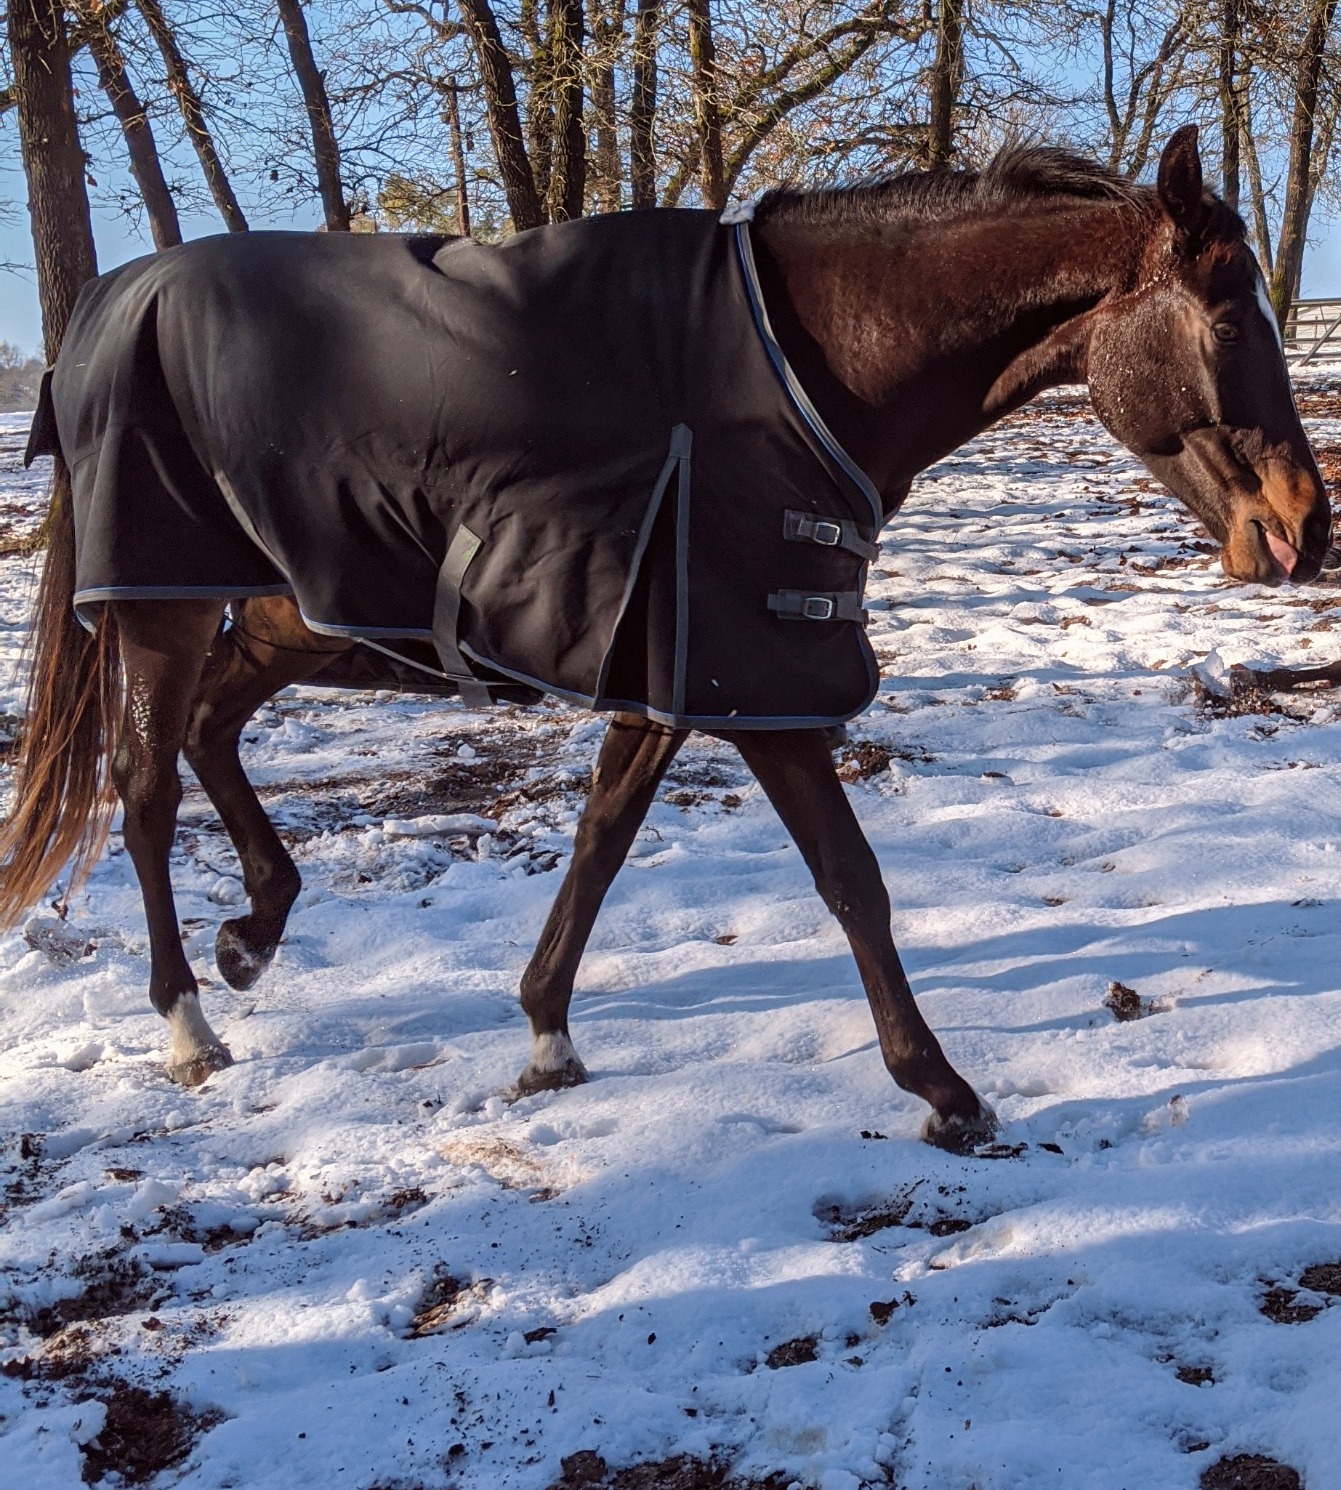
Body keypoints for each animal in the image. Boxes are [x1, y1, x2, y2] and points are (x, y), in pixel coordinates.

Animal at [0, 126, 1329, 1152]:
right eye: (1227, 321)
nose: (1306, 527)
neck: (811, 364)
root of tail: (106, 306)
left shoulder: (674, 674)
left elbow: (601, 839)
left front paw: (547, 1031)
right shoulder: (755, 680)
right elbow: (852, 879)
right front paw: (943, 1088)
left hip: (296, 609)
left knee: (212, 728)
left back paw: (255, 933)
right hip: (163, 604)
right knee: (144, 789)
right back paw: (187, 1021)